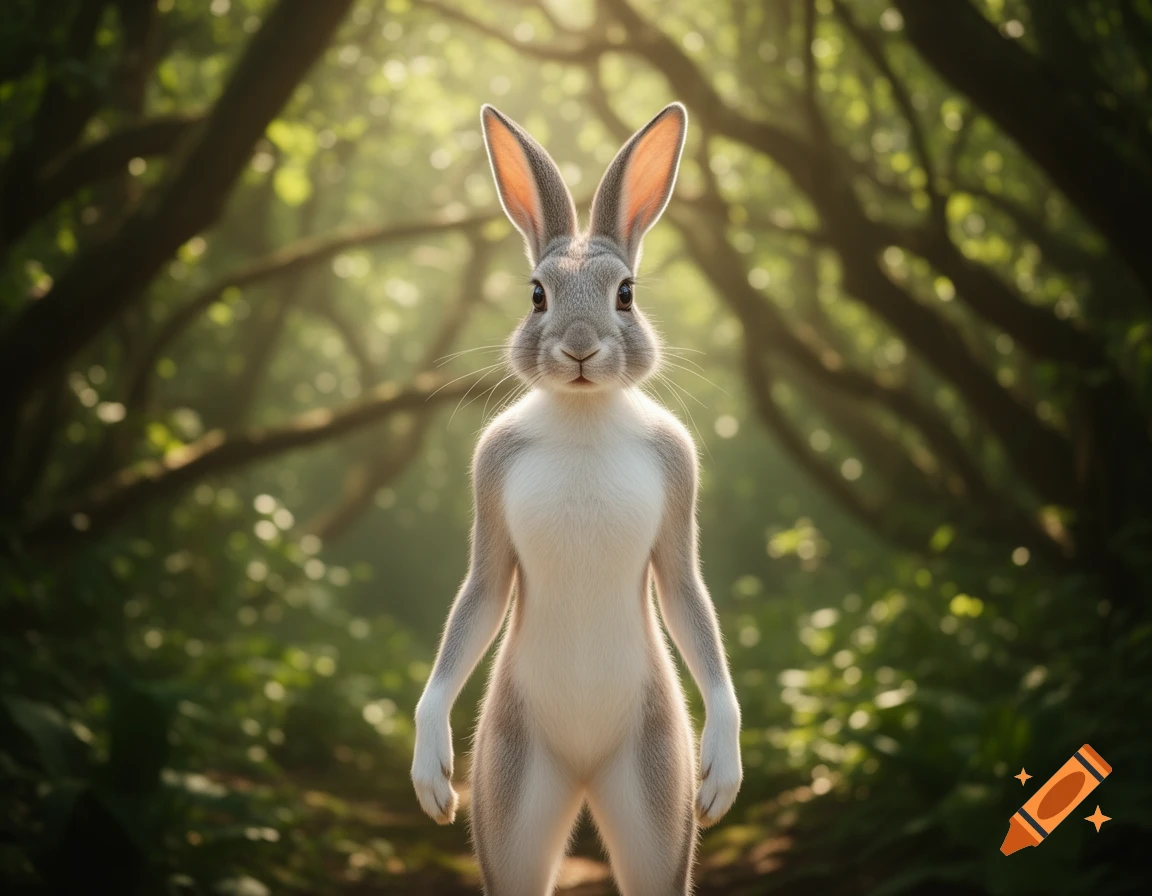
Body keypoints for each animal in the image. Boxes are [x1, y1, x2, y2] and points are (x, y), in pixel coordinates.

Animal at [411, 102, 742, 896]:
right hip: (513, 779)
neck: (585, 416)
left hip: (652, 778)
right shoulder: (489, 480)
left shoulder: (679, 480)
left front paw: (723, 776)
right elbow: (478, 596)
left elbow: (687, 595)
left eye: (627, 293)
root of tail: (586, 774)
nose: (582, 348)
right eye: (537, 293)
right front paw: (430, 777)